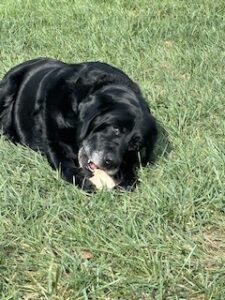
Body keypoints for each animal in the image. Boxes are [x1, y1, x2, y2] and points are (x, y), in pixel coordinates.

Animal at [0, 57, 157, 191]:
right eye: (116, 128)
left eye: (134, 146)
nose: (111, 162)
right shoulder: (54, 145)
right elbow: (66, 168)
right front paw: (84, 182)